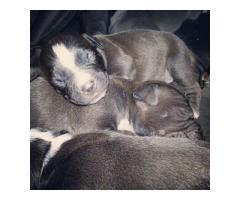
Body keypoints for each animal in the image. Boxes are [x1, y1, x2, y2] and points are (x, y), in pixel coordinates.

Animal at [40, 29, 207, 119]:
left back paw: (195, 110)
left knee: (194, 87)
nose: (87, 86)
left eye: (89, 56)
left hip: (177, 62)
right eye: (59, 80)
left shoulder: (125, 63)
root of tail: (189, 51)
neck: (102, 53)